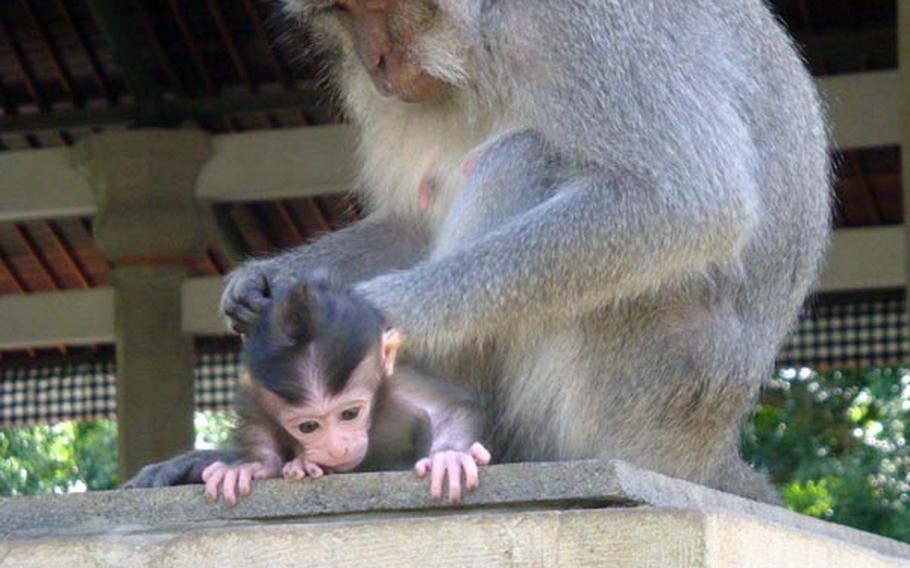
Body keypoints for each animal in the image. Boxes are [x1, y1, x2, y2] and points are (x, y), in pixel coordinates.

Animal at [204, 278, 492, 504]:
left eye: (350, 414)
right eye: (308, 427)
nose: (337, 450)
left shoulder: (398, 384)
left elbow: (449, 409)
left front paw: (449, 456)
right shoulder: (258, 395)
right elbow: (257, 419)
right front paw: (253, 466)